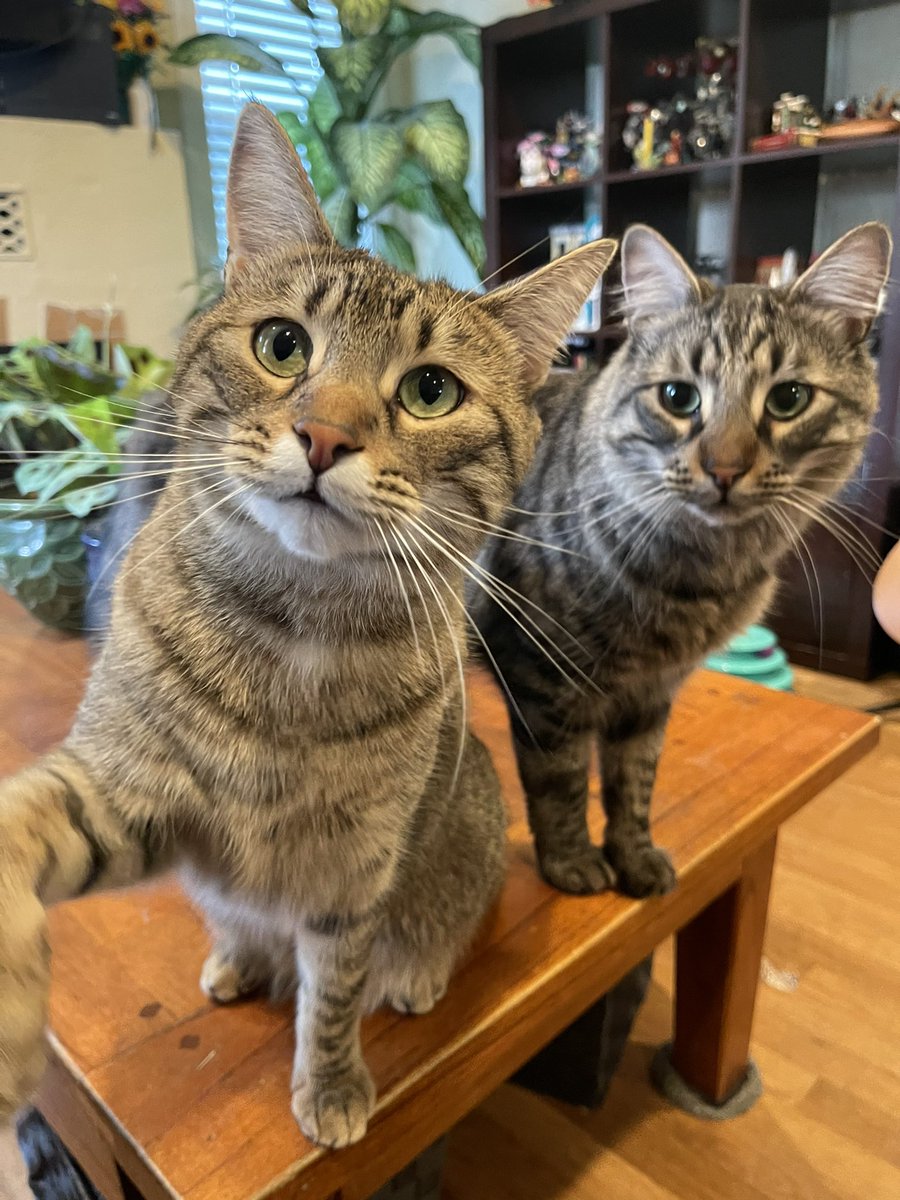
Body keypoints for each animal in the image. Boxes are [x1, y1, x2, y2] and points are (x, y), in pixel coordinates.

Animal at [0, 103, 619, 1152]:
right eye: (283, 345)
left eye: (431, 391)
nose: (326, 437)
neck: (293, 632)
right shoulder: (132, 793)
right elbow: (33, 821)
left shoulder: (350, 879)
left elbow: (330, 998)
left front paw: (329, 1084)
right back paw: (238, 958)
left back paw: (412, 974)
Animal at [475, 223, 892, 902]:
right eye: (678, 397)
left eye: (789, 399)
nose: (724, 469)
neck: (695, 579)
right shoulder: (542, 679)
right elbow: (561, 783)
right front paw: (571, 864)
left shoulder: (649, 696)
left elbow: (633, 786)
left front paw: (633, 859)